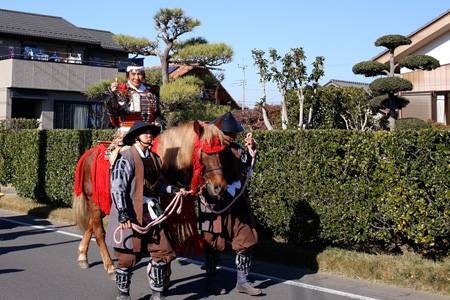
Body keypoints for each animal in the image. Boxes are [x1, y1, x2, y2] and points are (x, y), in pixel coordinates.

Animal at [74, 119, 229, 278]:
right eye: (204, 151)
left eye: (221, 152)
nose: (220, 187)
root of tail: (90, 153)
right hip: (94, 201)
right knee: (99, 231)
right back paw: (110, 265)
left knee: (91, 225)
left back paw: (82, 257)